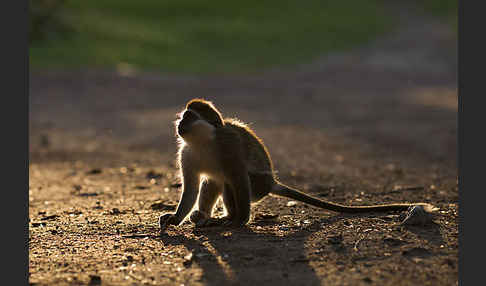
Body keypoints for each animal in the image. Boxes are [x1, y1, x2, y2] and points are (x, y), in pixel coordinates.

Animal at [159, 99, 432, 231]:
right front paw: (175, 219)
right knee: (215, 181)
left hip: (259, 185)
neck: (205, 141)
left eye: (189, 117)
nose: (179, 123)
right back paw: (206, 217)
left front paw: (240, 221)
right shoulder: (187, 154)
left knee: (231, 181)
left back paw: (228, 218)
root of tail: (272, 182)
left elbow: (238, 177)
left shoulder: (228, 147)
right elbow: (191, 187)